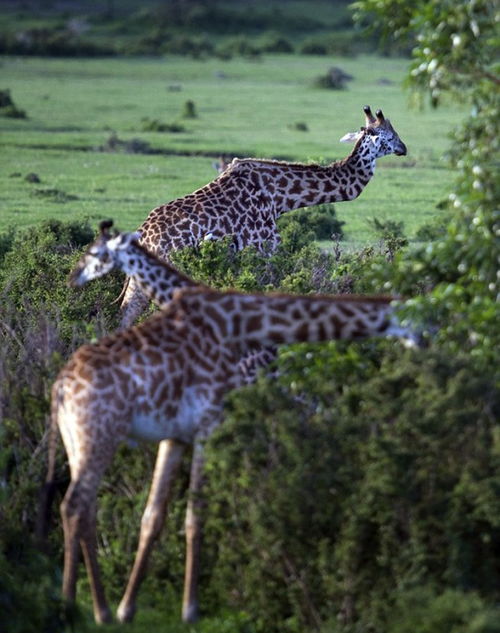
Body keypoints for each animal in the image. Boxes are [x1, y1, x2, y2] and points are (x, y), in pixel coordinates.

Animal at [47, 270, 416, 620]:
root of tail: (60, 389)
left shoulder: (188, 432)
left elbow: (162, 512)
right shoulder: (206, 425)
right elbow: (192, 511)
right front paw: (186, 608)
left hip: (83, 442)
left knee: (84, 506)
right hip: (99, 438)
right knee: (77, 504)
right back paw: (79, 607)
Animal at [120, 104, 406, 328]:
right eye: (390, 135)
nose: (404, 148)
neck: (279, 198)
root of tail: (143, 234)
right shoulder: (264, 249)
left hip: (138, 281)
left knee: (124, 315)